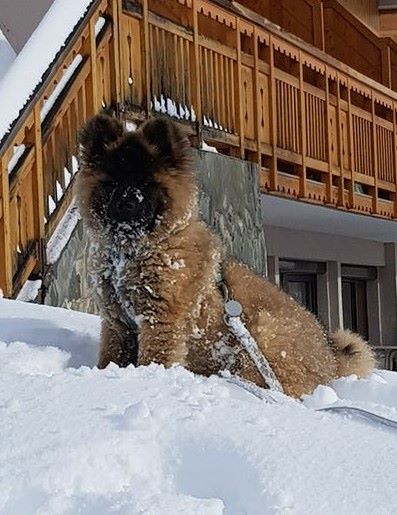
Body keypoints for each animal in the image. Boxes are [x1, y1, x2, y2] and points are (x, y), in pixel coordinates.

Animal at [75, 115, 374, 398]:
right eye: (112, 183)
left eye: (146, 184)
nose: (126, 203)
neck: (132, 252)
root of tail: (331, 359)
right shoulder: (117, 324)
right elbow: (109, 357)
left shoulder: (161, 321)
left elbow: (153, 359)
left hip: (262, 337)